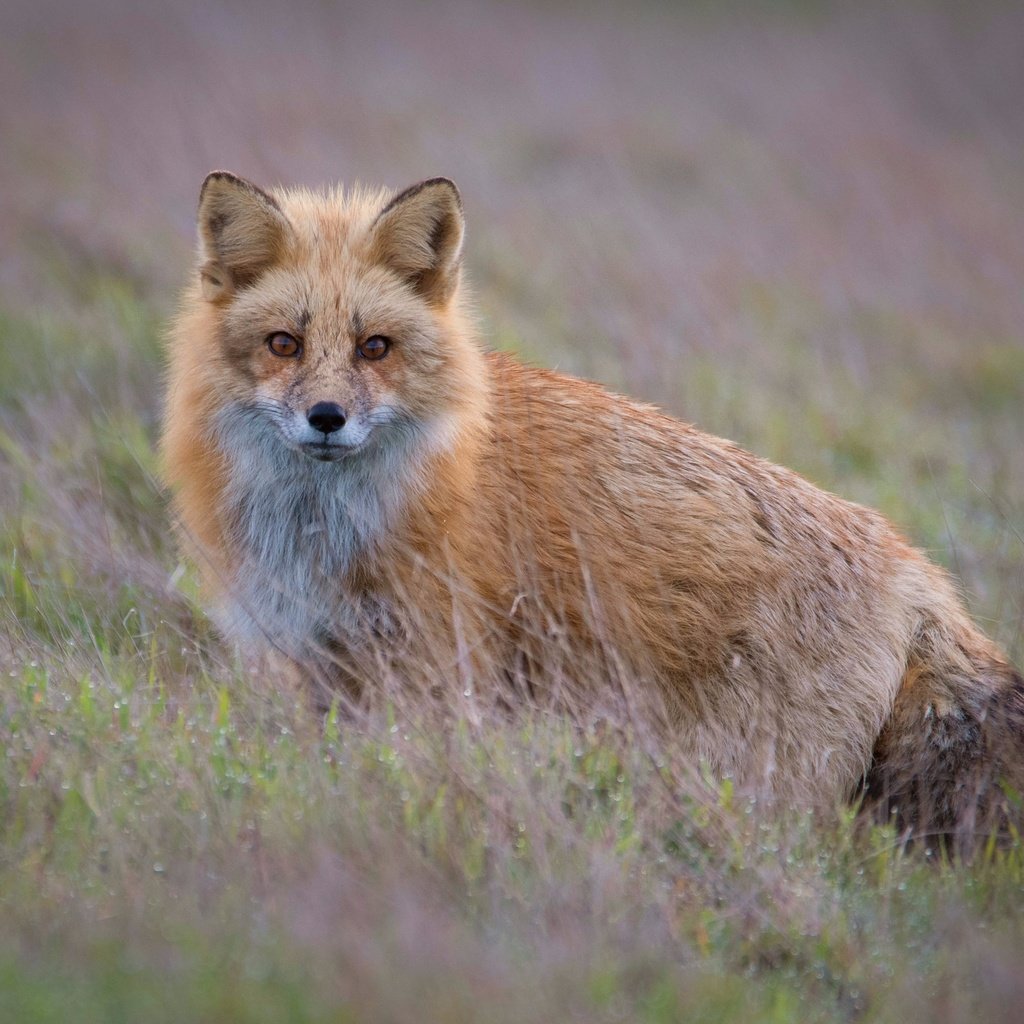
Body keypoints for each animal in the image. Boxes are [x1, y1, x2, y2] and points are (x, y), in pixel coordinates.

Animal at [161, 172, 1024, 843]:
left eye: (375, 347)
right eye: (284, 344)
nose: (327, 418)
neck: (330, 527)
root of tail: (917, 571)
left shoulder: (435, 671)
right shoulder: (326, 662)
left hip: (752, 783)